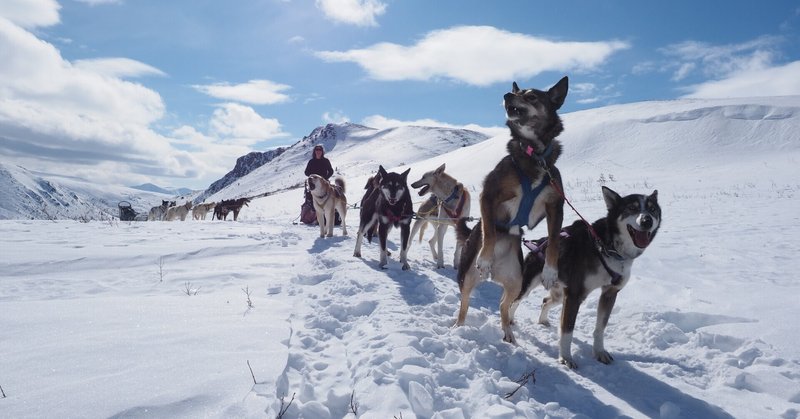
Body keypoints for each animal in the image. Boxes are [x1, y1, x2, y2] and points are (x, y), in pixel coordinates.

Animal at [456, 76, 568, 344]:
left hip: (517, 281)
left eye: (531, 96)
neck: (535, 156)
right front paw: (485, 257)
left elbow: (554, 241)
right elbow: (489, 229)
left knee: (503, 306)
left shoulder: (555, 206)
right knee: (464, 303)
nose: (507, 95)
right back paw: (458, 328)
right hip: (467, 276)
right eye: (517, 91)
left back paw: (508, 333)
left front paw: (550, 272)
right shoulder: (489, 194)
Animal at [520, 187, 660, 368]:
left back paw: (543, 321)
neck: (607, 248)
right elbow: (567, 331)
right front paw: (566, 358)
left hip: (560, 294)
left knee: (545, 301)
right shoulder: (574, 295)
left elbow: (600, 328)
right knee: (508, 304)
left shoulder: (609, 293)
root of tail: (538, 242)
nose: (646, 220)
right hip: (528, 287)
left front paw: (599, 352)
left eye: (652, 209)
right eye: (632, 208)